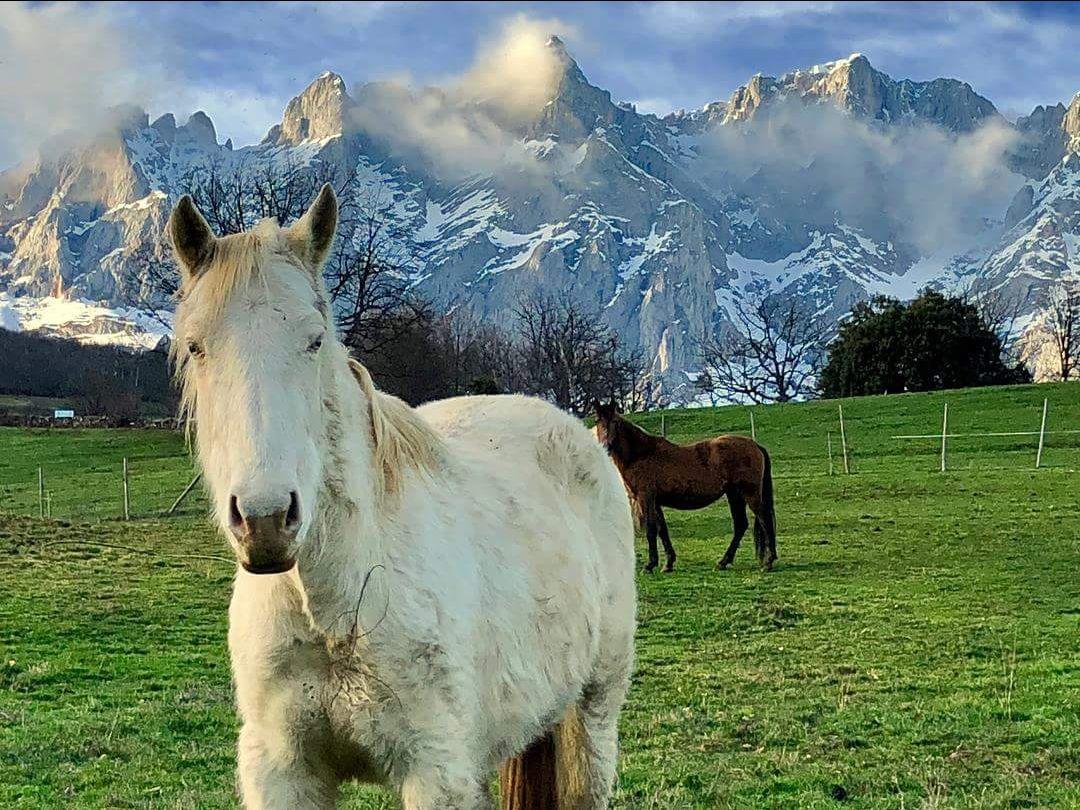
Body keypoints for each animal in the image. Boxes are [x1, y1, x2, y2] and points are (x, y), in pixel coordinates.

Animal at [167, 186, 635, 807]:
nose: (266, 520)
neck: (336, 608)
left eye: (315, 340)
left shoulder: (435, 771)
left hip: (592, 718)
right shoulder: (284, 771)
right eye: (196, 347)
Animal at [591, 403, 777, 574]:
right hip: (734, 495)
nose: (606, 446)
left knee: (765, 520)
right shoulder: (656, 502)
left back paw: (768, 562)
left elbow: (651, 530)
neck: (641, 455)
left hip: (750, 494)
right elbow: (662, 530)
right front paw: (668, 563)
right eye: (597, 420)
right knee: (740, 525)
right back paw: (723, 562)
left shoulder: (646, 498)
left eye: (614, 421)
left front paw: (650, 565)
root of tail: (755, 445)